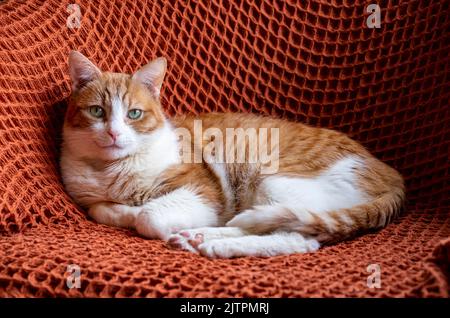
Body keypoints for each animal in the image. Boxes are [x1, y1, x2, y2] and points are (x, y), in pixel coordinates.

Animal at [59, 50, 404, 258]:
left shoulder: (202, 191)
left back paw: (210, 242)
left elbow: (148, 216)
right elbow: (101, 209)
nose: (114, 133)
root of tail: (392, 175)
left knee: (292, 235)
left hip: (272, 180)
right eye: (97, 111)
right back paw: (196, 237)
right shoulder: (89, 197)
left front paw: (138, 214)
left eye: (134, 114)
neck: (113, 171)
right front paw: (123, 210)